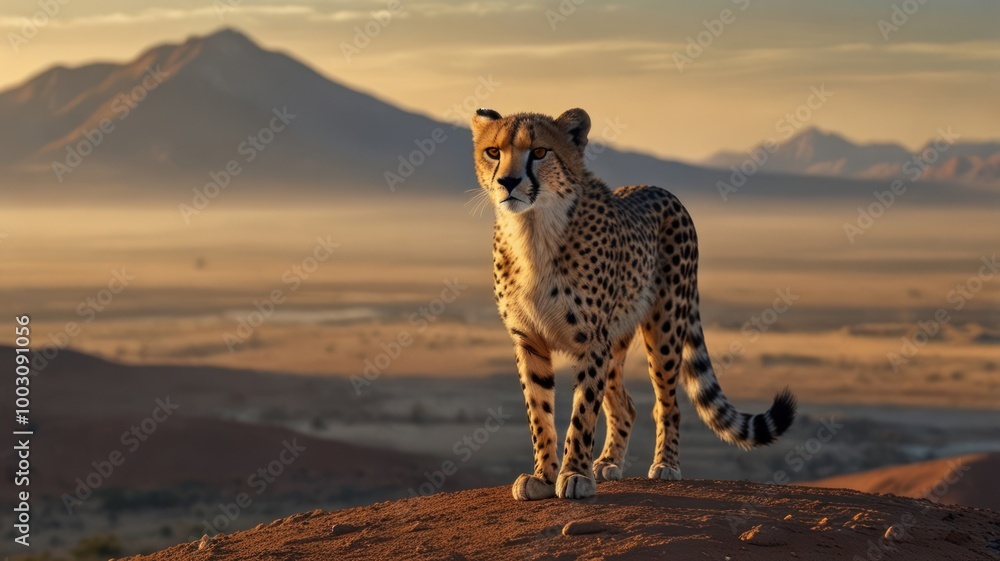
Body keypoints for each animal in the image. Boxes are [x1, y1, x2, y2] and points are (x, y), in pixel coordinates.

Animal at [470, 107, 797, 500]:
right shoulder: (529, 340)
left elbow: (583, 413)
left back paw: (666, 465)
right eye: (493, 152)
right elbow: (539, 412)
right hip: (617, 339)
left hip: (664, 327)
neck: (533, 229)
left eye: (539, 152)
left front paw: (574, 474)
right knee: (624, 407)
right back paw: (609, 461)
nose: (508, 181)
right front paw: (544, 477)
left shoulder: (592, 341)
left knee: (667, 405)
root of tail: (657, 188)